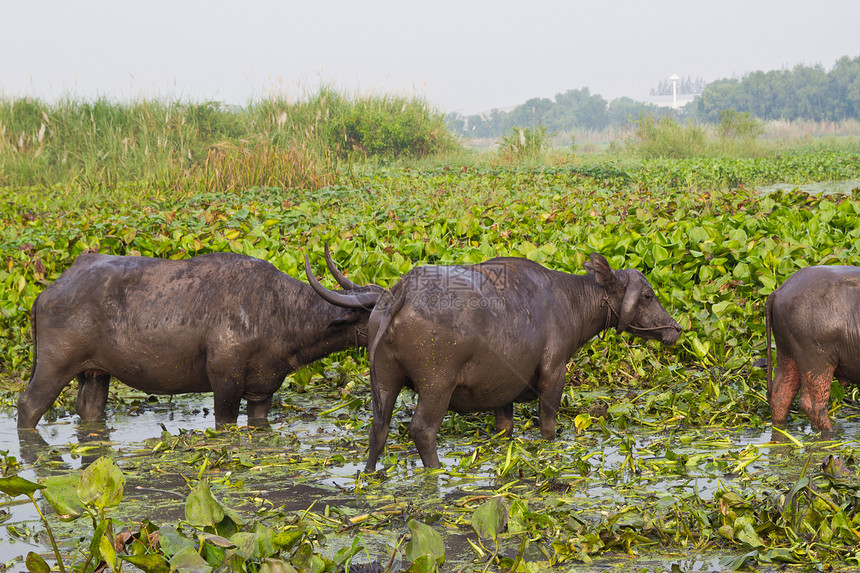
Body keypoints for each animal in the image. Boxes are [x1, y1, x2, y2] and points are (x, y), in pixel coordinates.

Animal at [18, 251, 374, 428]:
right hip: (54, 366)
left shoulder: (262, 392)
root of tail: (48, 292)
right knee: (29, 404)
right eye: (377, 310)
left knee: (89, 408)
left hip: (94, 373)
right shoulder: (225, 384)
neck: (278, 311)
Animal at [306, 250, 680, 470]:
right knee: (422, 430)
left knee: (378, 430)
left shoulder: (503, 392)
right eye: (648, 295)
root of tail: (401, 292)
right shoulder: (554, 375)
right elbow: (548, 426)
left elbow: (505, 428)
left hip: (382, 382)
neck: (570, 301)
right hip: (436, 386)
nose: (675, 328)